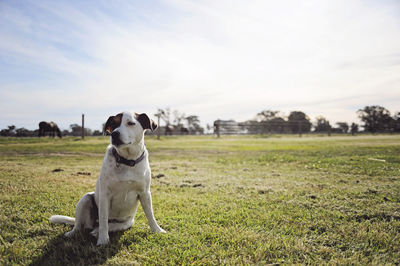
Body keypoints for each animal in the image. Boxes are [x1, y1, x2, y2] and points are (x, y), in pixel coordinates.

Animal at [50, 110, 166, 245]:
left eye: (130, 123)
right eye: (113, 125)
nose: (114, 134)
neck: (127, 161)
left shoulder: (145, 193)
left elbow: (150, 214)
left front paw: (157, 230)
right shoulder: (105, 195)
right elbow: (104, 220)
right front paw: (103, 240)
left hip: (126, 222)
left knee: (108, 226)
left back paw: (97, 231)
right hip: (85, 199)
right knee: (80, 225)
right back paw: (75, 233)